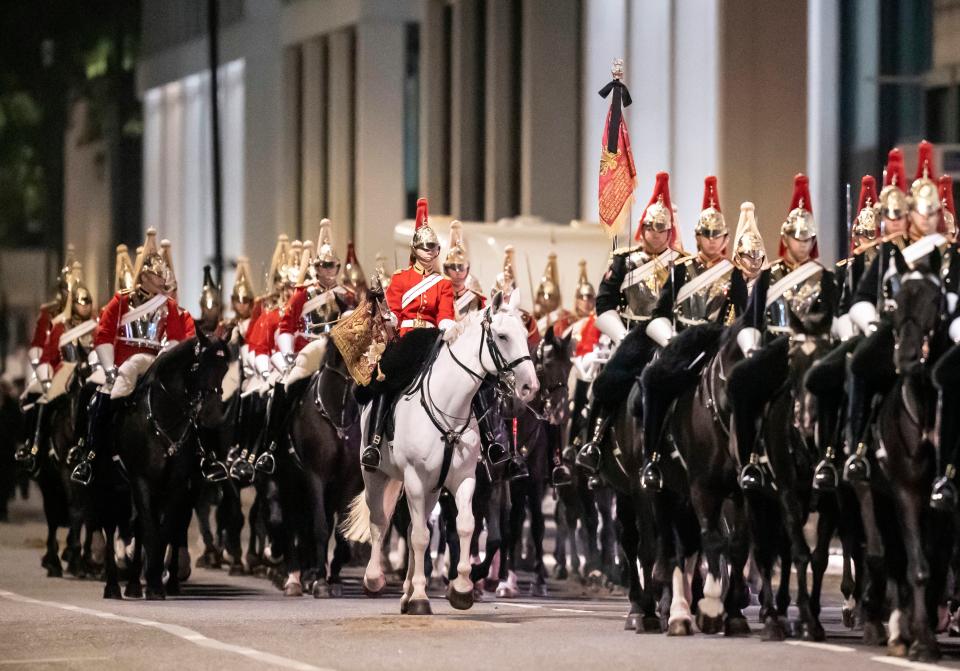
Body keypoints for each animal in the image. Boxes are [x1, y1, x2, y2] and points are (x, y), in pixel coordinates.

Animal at [344, 288, 540, 616]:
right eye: (502, 336)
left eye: (525, 334)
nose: (529, 387)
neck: (450, 407)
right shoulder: (414, 479)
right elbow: (421, 536)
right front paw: (422, 598)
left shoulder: (463, 480)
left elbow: (464, 527)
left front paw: (460, 589)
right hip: (376, 475)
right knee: (380, 521)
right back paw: (375, 579)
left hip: (432, 489)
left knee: (413, 528)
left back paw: (407, 593)